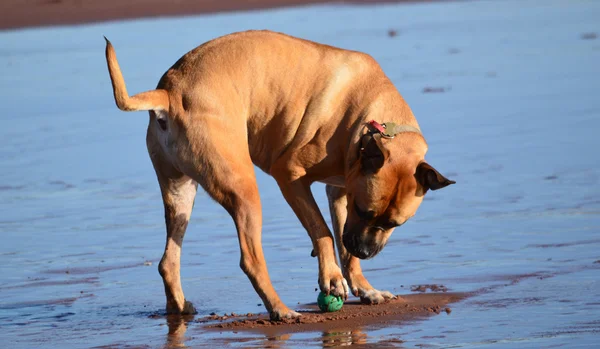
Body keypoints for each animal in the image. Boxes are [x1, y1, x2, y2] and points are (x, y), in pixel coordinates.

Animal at [104, 31, 454, 320]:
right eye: (364, 211)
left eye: (395, 224)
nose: (365, 252)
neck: (373, 126)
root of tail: (169, 93)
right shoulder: (290, 178)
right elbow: (323, 232)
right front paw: (332, 277)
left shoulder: (340, 192)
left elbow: (342, 245)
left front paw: (364, 287)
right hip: (243, 191)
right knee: (251, 260)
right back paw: (281, 310)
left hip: (179, 194)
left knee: (168, 261)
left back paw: (178, 307)